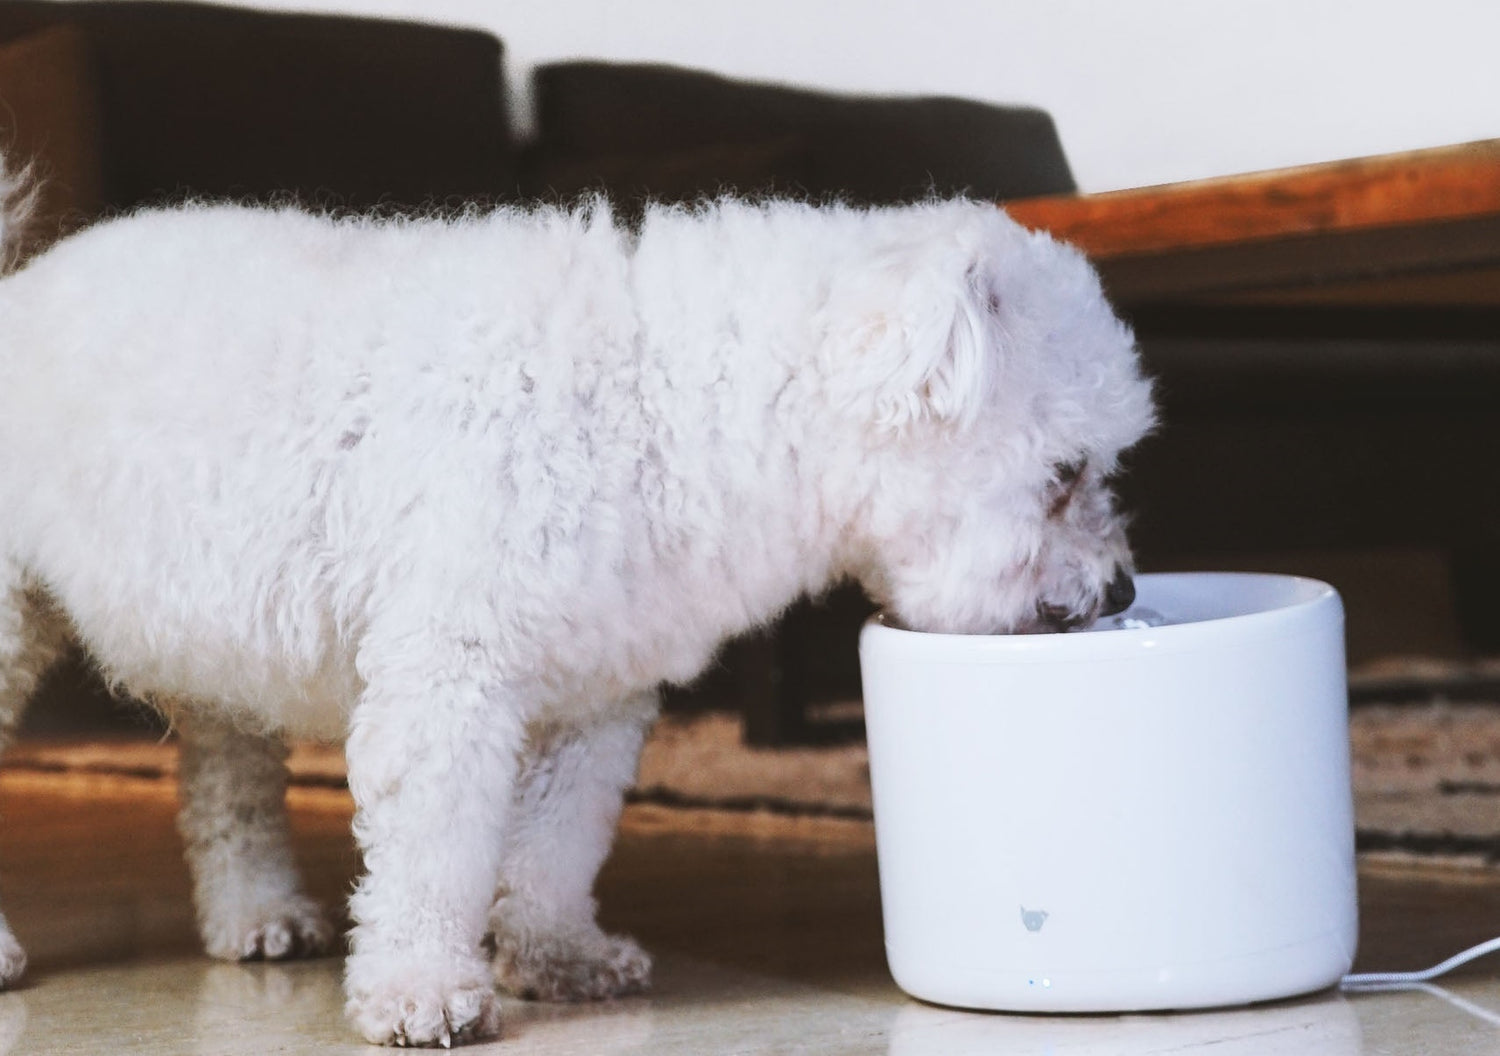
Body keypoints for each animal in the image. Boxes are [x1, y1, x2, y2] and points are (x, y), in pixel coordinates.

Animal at [0, 154, 1152, 1038]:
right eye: (1066, 474)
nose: (1124, 583)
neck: (659, 404)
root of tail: (20, 285)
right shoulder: (449, 681)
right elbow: (434, 856)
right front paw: (421, 988)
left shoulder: (595, 693)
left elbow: (556, 846)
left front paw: (557, 956)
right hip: (17, 619)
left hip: (225, 647)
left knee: (226, 787)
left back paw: (259, 915)